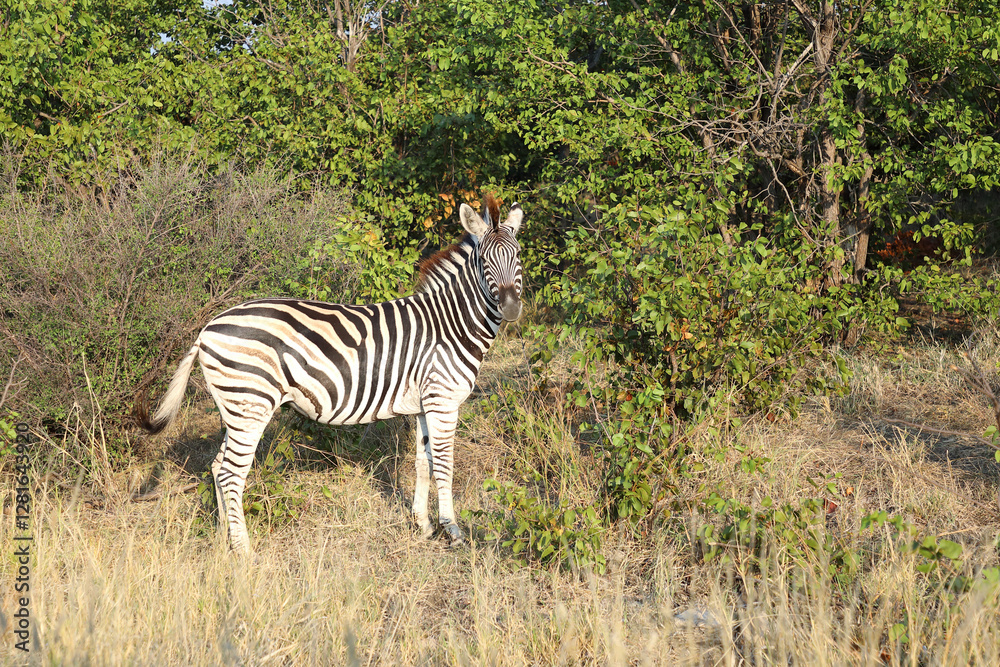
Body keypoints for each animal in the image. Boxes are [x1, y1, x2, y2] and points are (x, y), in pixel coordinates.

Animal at [137, 196, 524, 553]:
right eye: (485, 261)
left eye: (517, 256)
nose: (510, 308)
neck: (449, 324)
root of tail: (208, 328)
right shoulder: (444, 400)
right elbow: (445, 465)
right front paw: (453, 531)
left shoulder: (424, 404)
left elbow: (422, 462)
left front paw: (424, 525)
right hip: (252, 402)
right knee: (232, 473)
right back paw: (245, 550)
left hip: (235, 408)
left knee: (219, 468)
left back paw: (224, 541)